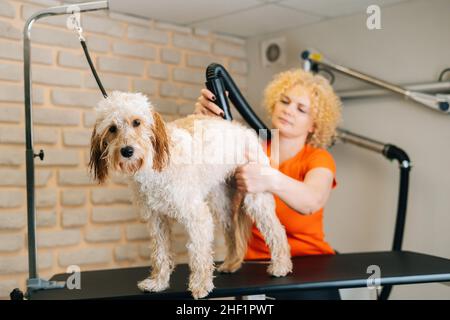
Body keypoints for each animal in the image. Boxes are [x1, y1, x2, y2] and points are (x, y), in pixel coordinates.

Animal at [89, 91, 292, 298]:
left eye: (137, 122)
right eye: (112, 128)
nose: (127, 151)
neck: (154, 167)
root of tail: (241, 129)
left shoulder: (196, 216)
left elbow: (199, 252)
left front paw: (201, 284)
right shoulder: (156, 219)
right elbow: (160, 253)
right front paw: (158, 283)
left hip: (255, 197)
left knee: (276, 230)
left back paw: (281, 265)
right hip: (221, 204)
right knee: (232, 232)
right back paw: (231, 263)